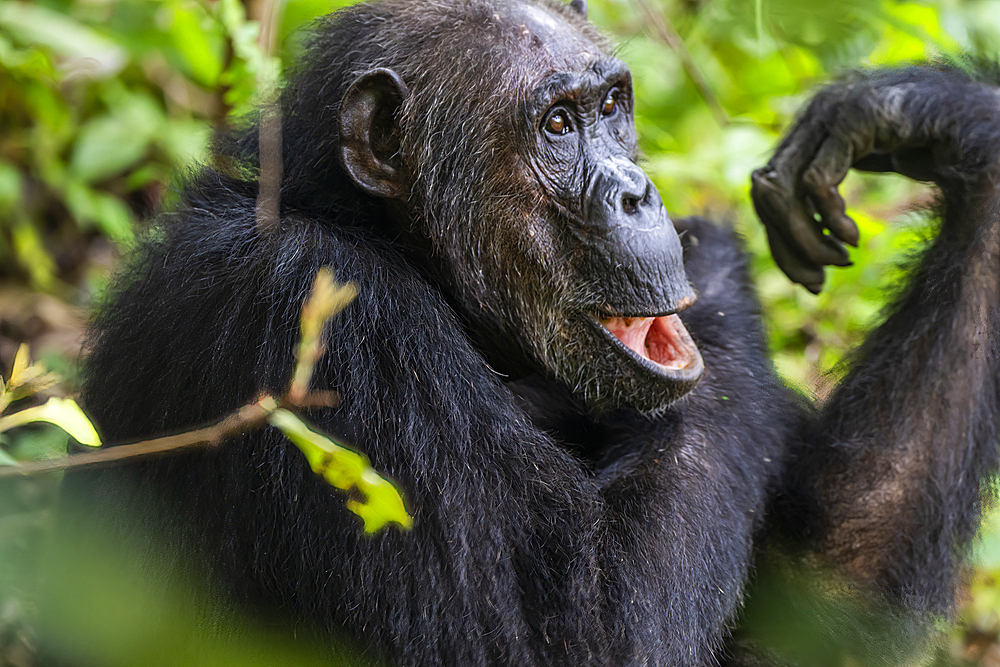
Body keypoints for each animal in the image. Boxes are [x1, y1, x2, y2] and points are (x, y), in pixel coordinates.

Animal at [58, 1, 996, 667]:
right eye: (556, 125)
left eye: (612, 106)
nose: (637, 191)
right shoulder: (319, 318)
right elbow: (573, 633)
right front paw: (722, 272)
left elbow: (812, 603)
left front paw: (936, 114)